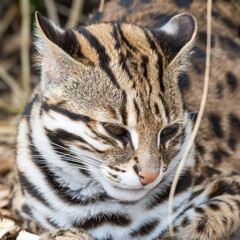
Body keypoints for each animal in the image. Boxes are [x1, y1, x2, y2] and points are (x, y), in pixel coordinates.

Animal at [11, 0, 240, 239]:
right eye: (115, 130)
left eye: (169, 131)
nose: (150, 176)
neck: (105, 209)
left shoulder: (231, 182)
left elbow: (199, 222)